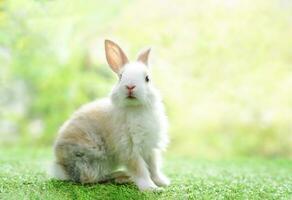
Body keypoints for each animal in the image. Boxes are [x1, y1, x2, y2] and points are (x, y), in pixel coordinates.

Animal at [51, 39, 170, 191]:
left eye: (147, 78)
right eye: (121, 77)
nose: (130, 86)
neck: (135, 108)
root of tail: (61, 168)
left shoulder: (150, 148)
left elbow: (153, 167)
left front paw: (162, 182)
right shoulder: (129, 149)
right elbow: (140, 170)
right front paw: (151, 188)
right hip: (92, 157)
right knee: (90, 178)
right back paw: (122, 177)